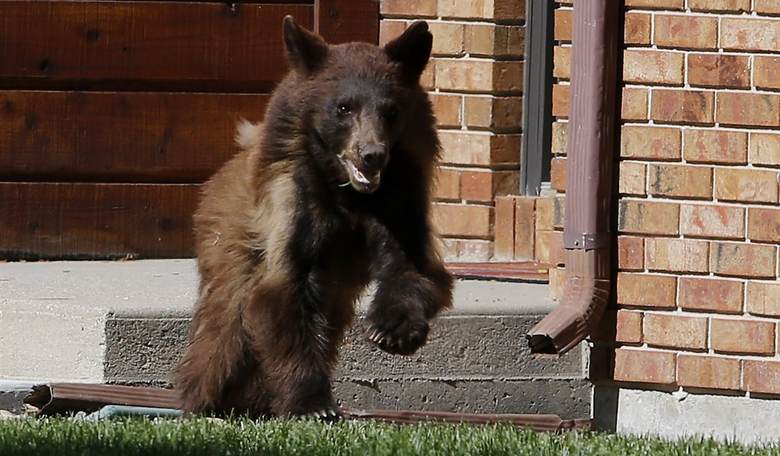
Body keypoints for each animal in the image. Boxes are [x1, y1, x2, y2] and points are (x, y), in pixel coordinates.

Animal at [175, 16, 453, 419]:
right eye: (344, 107)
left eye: (390, 109)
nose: (372, 154)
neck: (348, 194)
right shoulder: (293, 201)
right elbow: (285, 289)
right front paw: (312, 404)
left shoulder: (399, 199)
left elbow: (414, 267)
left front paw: (392, 330)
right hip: (230, 240)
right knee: (225, 325)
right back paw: (208, 396)